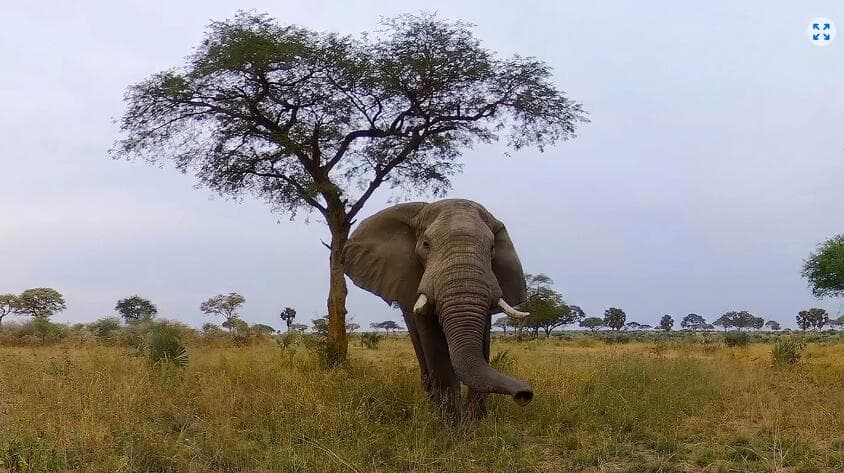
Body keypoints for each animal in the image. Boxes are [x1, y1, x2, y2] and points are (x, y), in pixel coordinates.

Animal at [343, 198, 533, 420]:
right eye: (426, 245)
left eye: (492, 248)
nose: (525, 394)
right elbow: (435, 347)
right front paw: (452, 425)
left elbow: (483, 344)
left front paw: (477, 422)